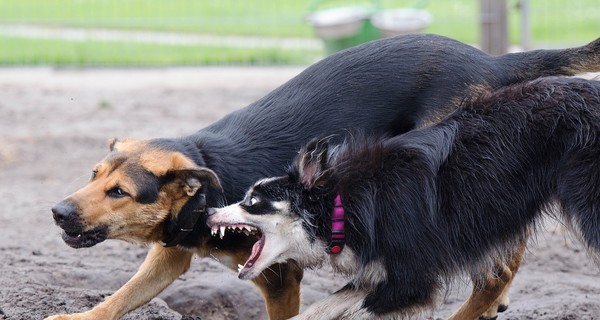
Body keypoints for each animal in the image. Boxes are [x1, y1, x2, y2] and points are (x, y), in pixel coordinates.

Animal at [209, 77, 600, 320]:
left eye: (253, 200)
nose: (210, 212)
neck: (342, 203)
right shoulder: (379, 271)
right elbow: (319, 310)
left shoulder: (413, 279)